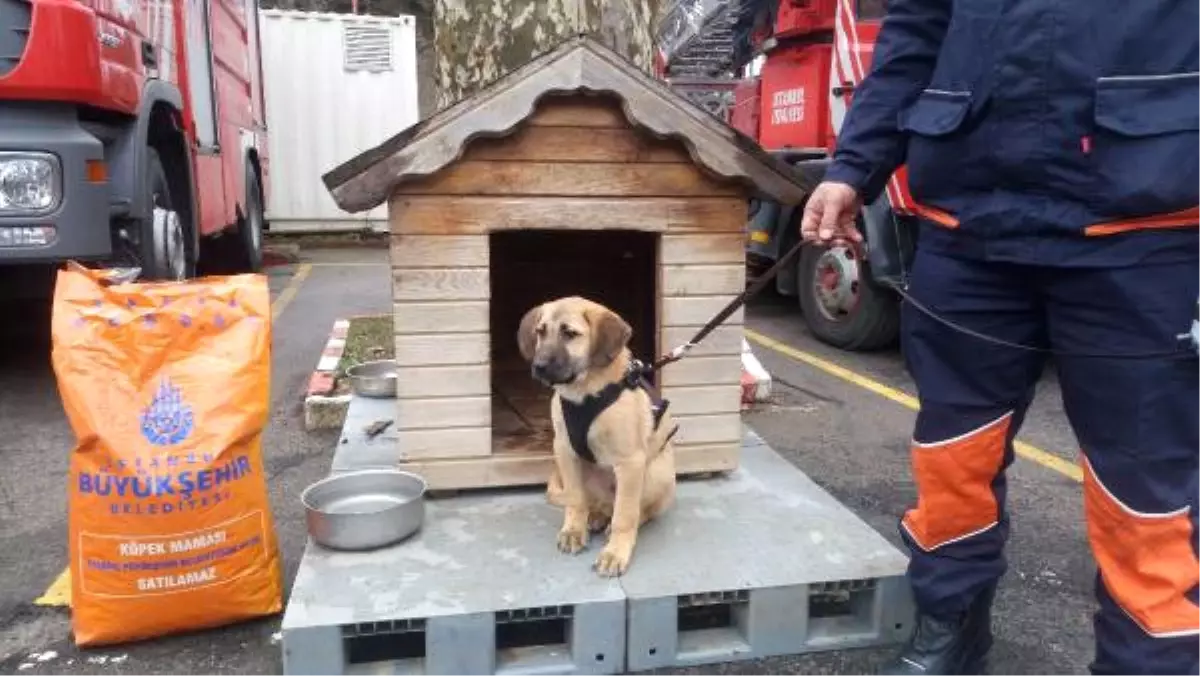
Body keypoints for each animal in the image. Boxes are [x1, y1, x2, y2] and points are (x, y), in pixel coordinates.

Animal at [516, 296, 681, 576]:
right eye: (540, 332)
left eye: (570, 334)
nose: (538, 367)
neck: (583, 393)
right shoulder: (565, 451)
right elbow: (575, 500)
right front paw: (574, 531)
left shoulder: (630, 462)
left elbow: (625, 516)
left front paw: (615, 553)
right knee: (598, 504)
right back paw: (595, 516)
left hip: (655, 474)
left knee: (637, 511)